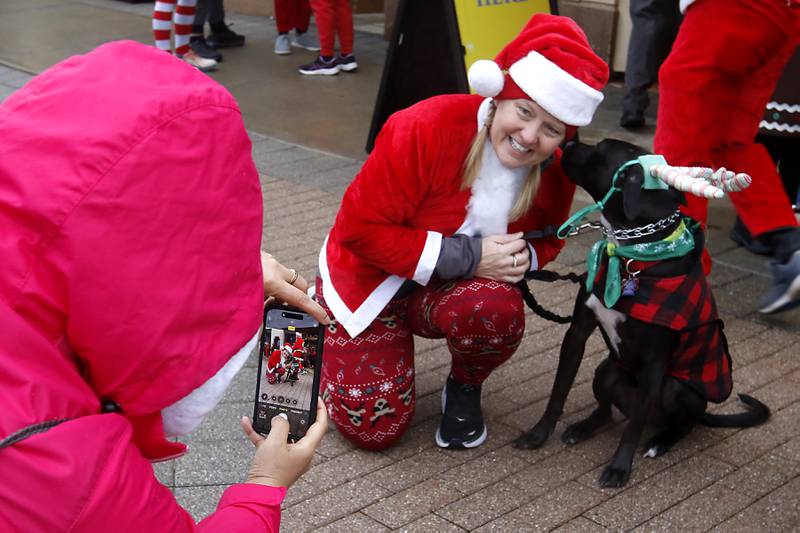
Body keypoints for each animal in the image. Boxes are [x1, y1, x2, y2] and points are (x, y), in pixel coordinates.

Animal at [512, 140, 768, 486]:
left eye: (600, 151)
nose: (568, 143)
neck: (632, 256)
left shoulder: (654, 362)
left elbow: (632, 431)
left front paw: (620, 468)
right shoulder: (577, 331)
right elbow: (558, 391)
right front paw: (539, 435)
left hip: (677, 391)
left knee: (673, 424)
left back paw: (660, 442)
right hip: (607, 369)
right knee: (608, 411)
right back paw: (584, 427)